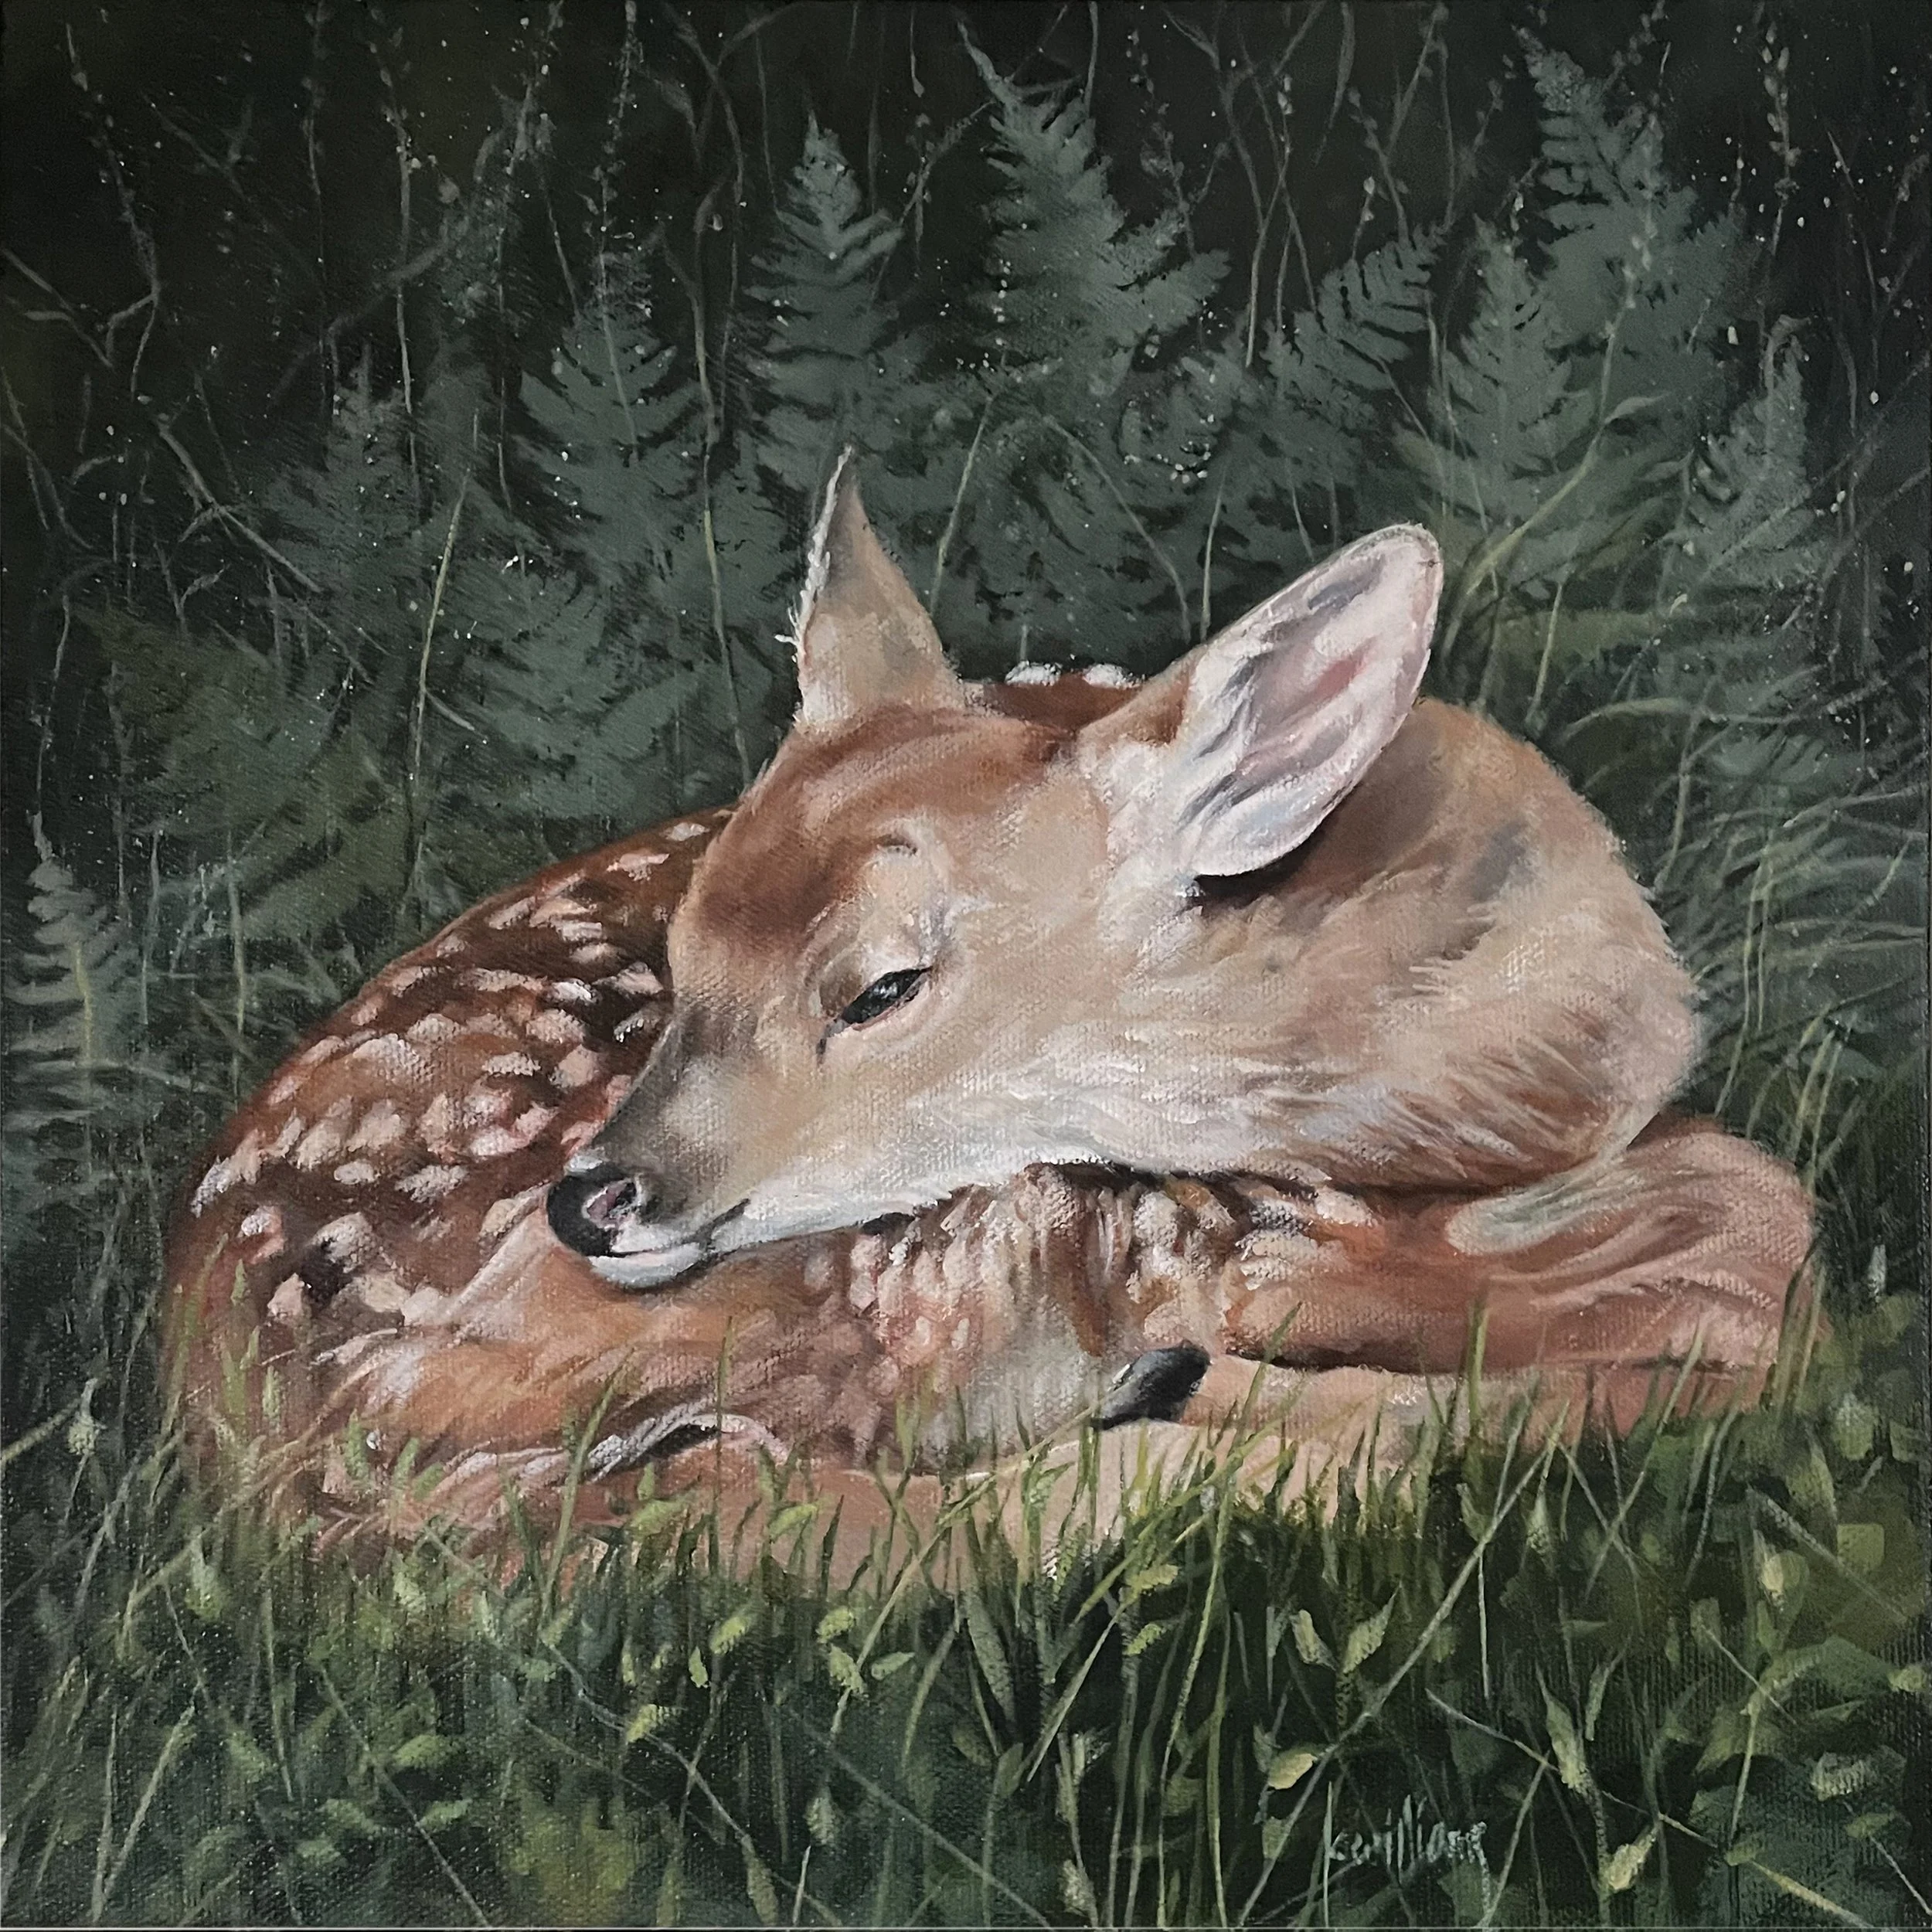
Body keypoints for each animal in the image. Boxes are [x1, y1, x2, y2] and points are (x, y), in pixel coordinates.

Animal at [161, 460, 1814, 1579]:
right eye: (684, 952)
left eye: (884, 989)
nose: (598, 1200)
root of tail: (233, 1415)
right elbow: (1747, 1251)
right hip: (903, 1268)